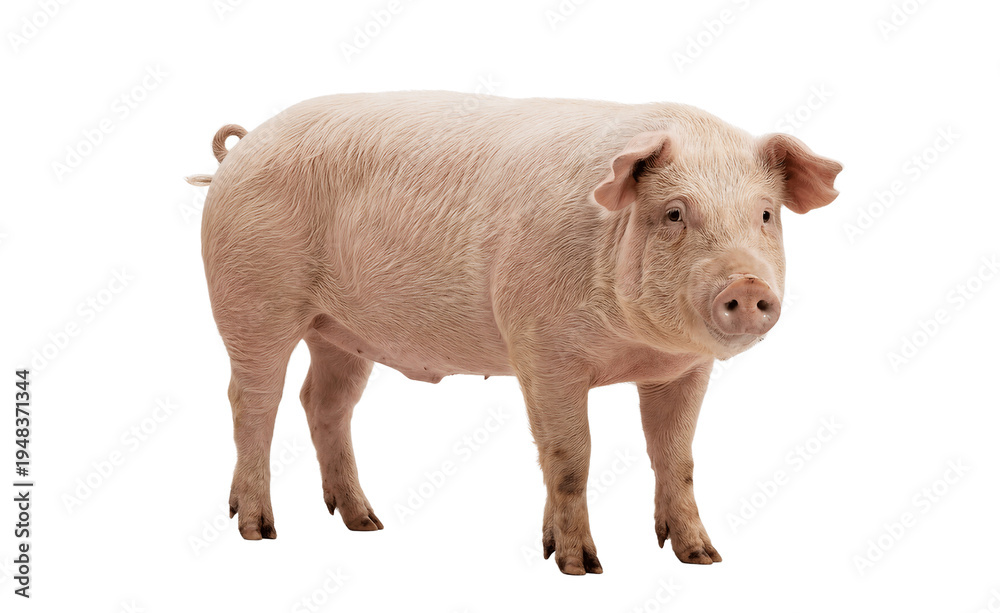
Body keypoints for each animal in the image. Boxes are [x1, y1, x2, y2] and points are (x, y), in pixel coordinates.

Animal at [187, 91, 841, 575]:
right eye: (675, 213)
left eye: (765, 214)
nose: (747, 284)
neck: (633, 349)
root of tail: (240, 149)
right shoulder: (542, 351)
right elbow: (570, 455)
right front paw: (579, 567)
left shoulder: (685, 369)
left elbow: (676, 457)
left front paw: (702, 558)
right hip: (251, 298)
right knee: (252, 400)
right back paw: (259, 531)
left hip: (339, 331)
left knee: (323, 403)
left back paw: (365, 523)